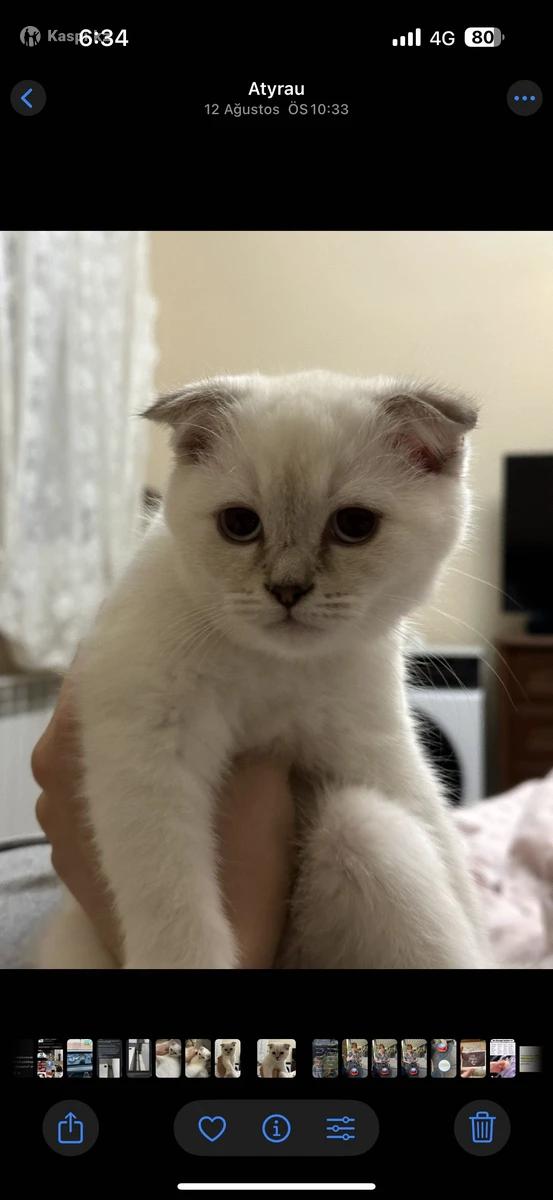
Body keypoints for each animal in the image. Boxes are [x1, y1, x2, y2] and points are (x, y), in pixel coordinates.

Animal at [38, 369, 490, 969]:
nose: (287, 590)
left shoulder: (374, 746)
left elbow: (440, 836)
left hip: (365, 829)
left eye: (354, 525)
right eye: (239, 525)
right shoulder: (148, 745)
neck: (276, 668)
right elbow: (171, 897)